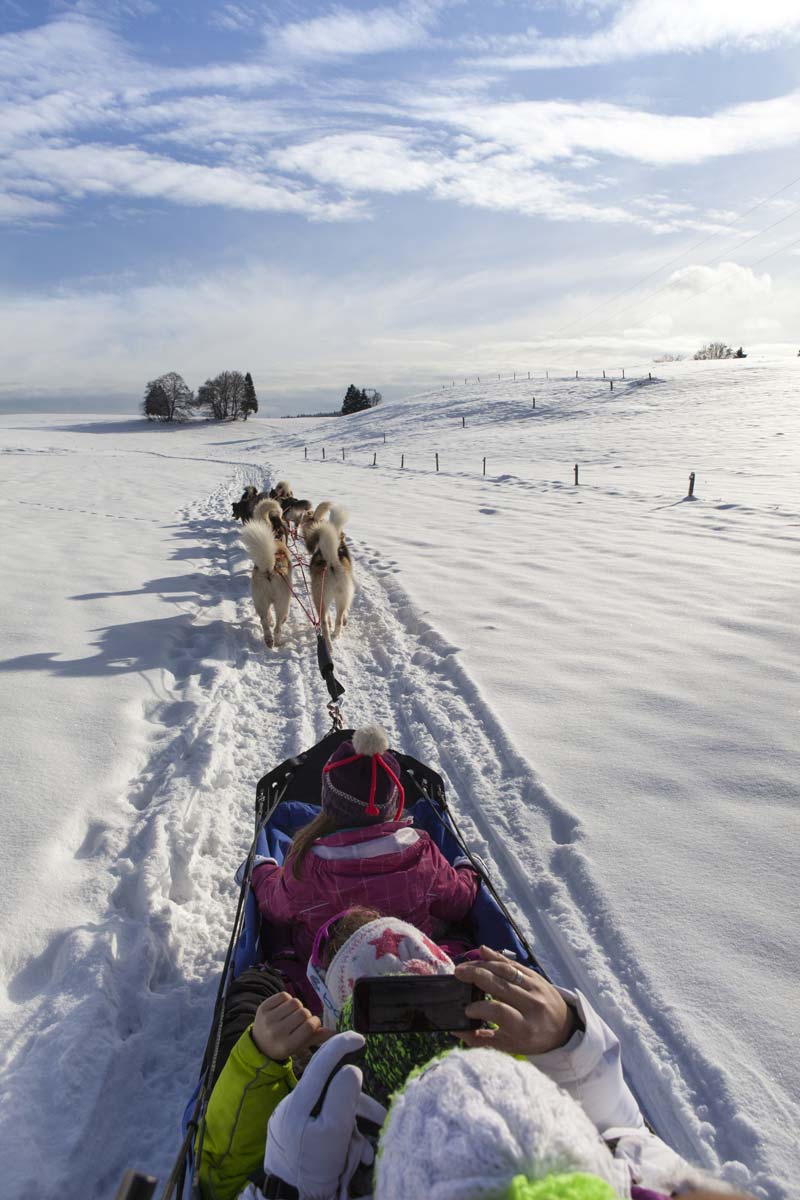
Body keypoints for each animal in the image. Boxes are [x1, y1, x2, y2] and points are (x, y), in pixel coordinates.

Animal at [244, 518, 297, 648]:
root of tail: (269, 570)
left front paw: (270, 621)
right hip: (282, 605)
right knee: (278, 626)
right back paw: (278, 642)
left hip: (260, 601)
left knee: (264, 621)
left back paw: (268, 639)